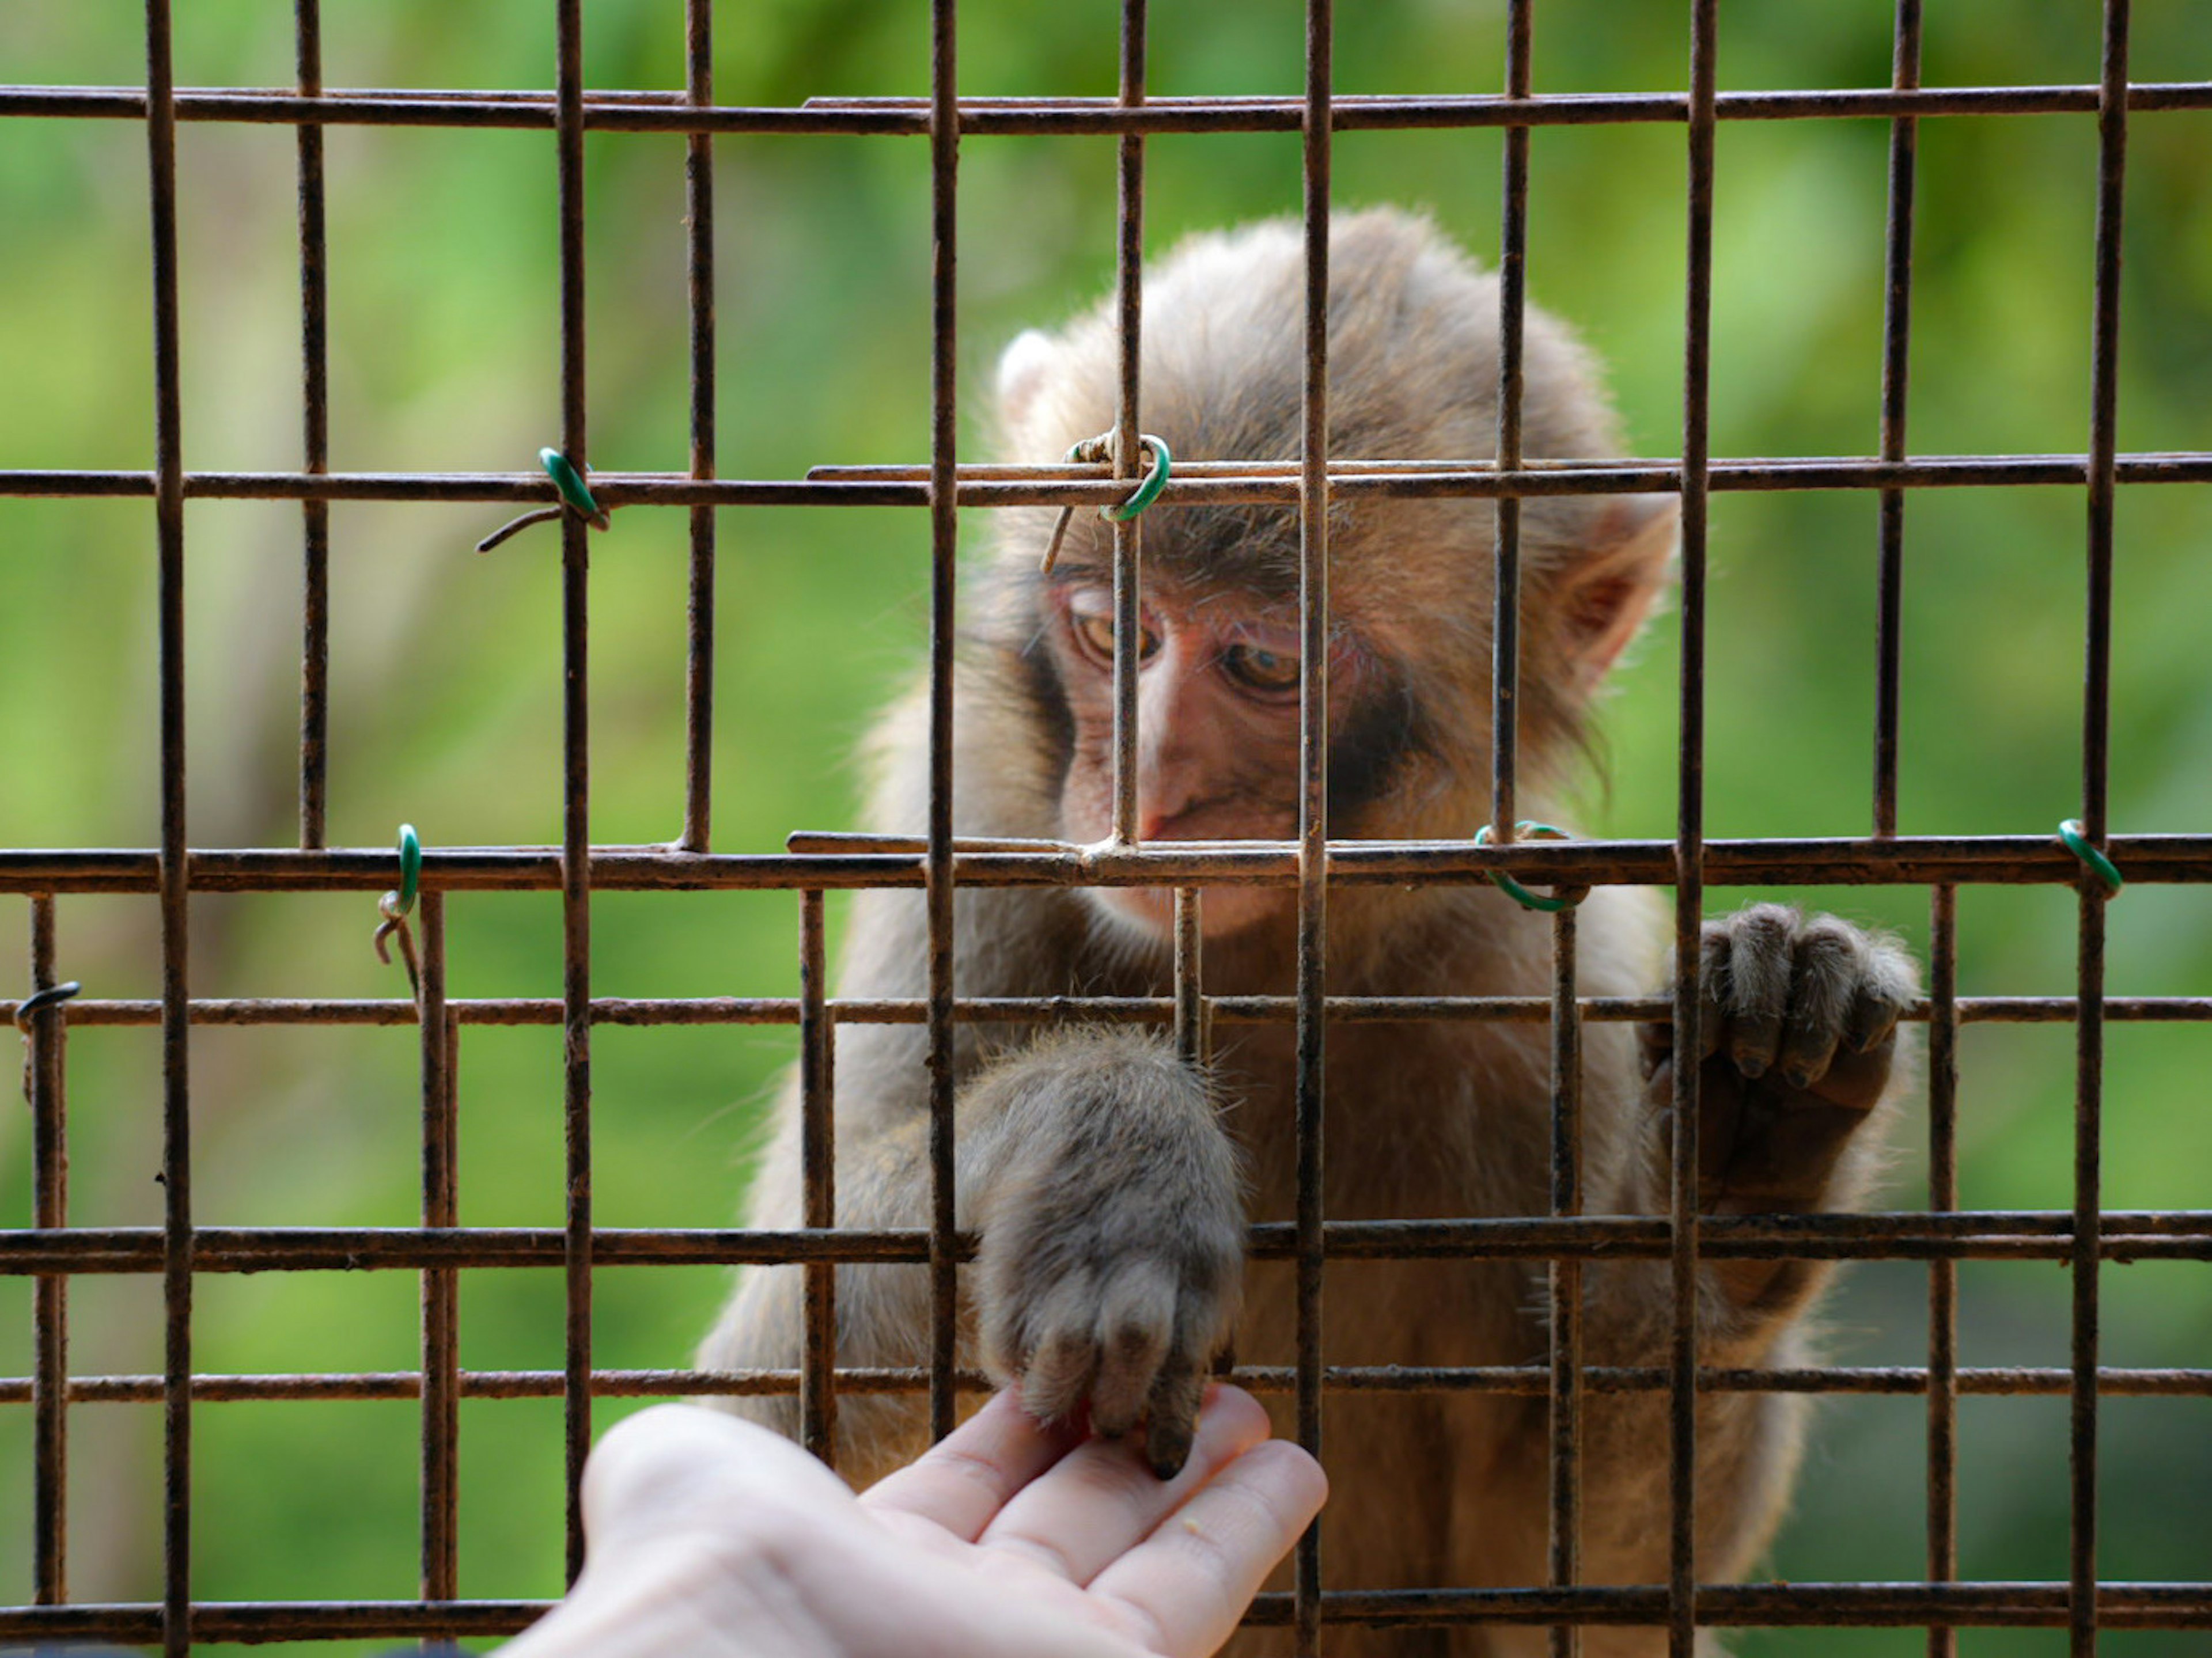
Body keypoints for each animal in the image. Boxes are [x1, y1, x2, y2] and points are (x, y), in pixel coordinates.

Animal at [699, 211, 1911, 1658]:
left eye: (1266, 665)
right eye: (1107, 629)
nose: (1146, 793)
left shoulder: (1544, 999)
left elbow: (1559, 1586)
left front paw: (1734, 1172)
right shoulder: (970, 823)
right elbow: (755, 1409)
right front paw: (1110, 1144)